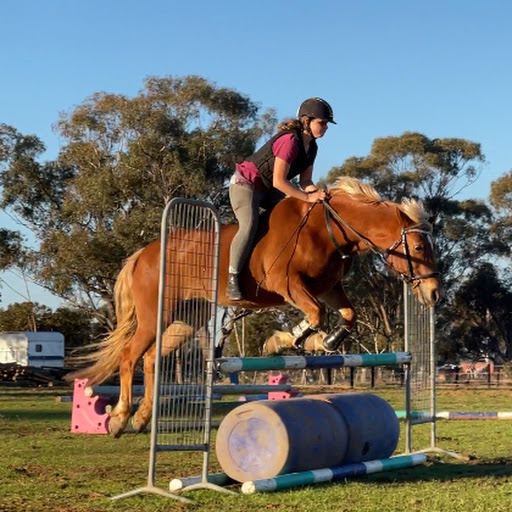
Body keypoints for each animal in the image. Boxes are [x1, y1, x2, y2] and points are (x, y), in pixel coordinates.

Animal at [67, 176, 440, 436]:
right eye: (419, 247)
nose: (434, 294)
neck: (328, 227)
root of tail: (143, 253)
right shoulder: (287, 284)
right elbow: (316, 314)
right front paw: (285, 342)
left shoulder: (329, 287)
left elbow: (348, 315)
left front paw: (323, 343)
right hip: (155, 316)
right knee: (130, 356)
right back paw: (119, 418)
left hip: (187, 318)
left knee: (150, 359)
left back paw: (143, 418)